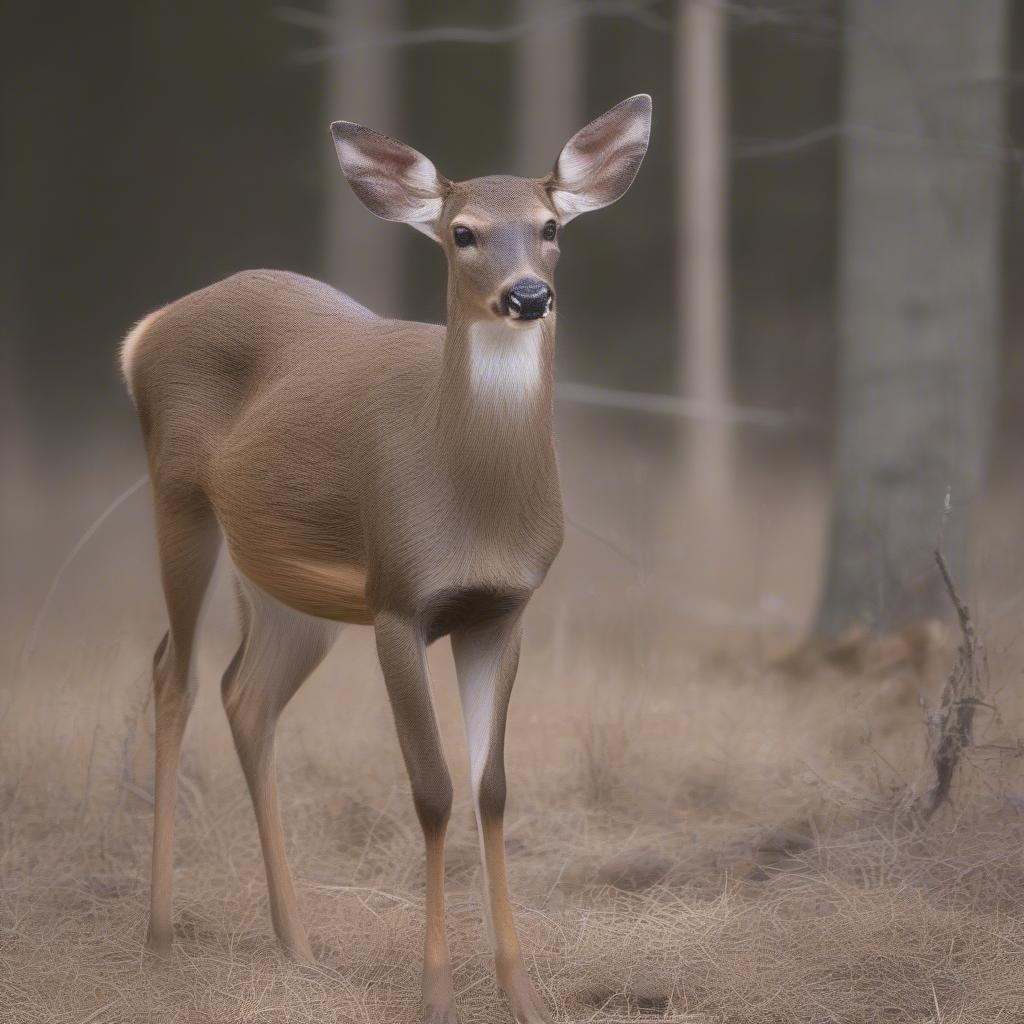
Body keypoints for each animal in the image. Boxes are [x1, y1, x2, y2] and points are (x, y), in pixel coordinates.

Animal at [119, 96, 647, 1024]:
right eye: (464, 233)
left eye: (551, 227)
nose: (529, 294)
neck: (474, 508)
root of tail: (143, 331)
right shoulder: (401, 600)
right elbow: (432, 788)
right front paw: (434, 991)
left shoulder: (503, 609)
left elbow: (492, 786)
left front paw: (519, 993)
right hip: (177, 498)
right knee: (172, 676)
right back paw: (161, 940)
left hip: (286, 581)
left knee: (245, 694)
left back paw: (297, 946)